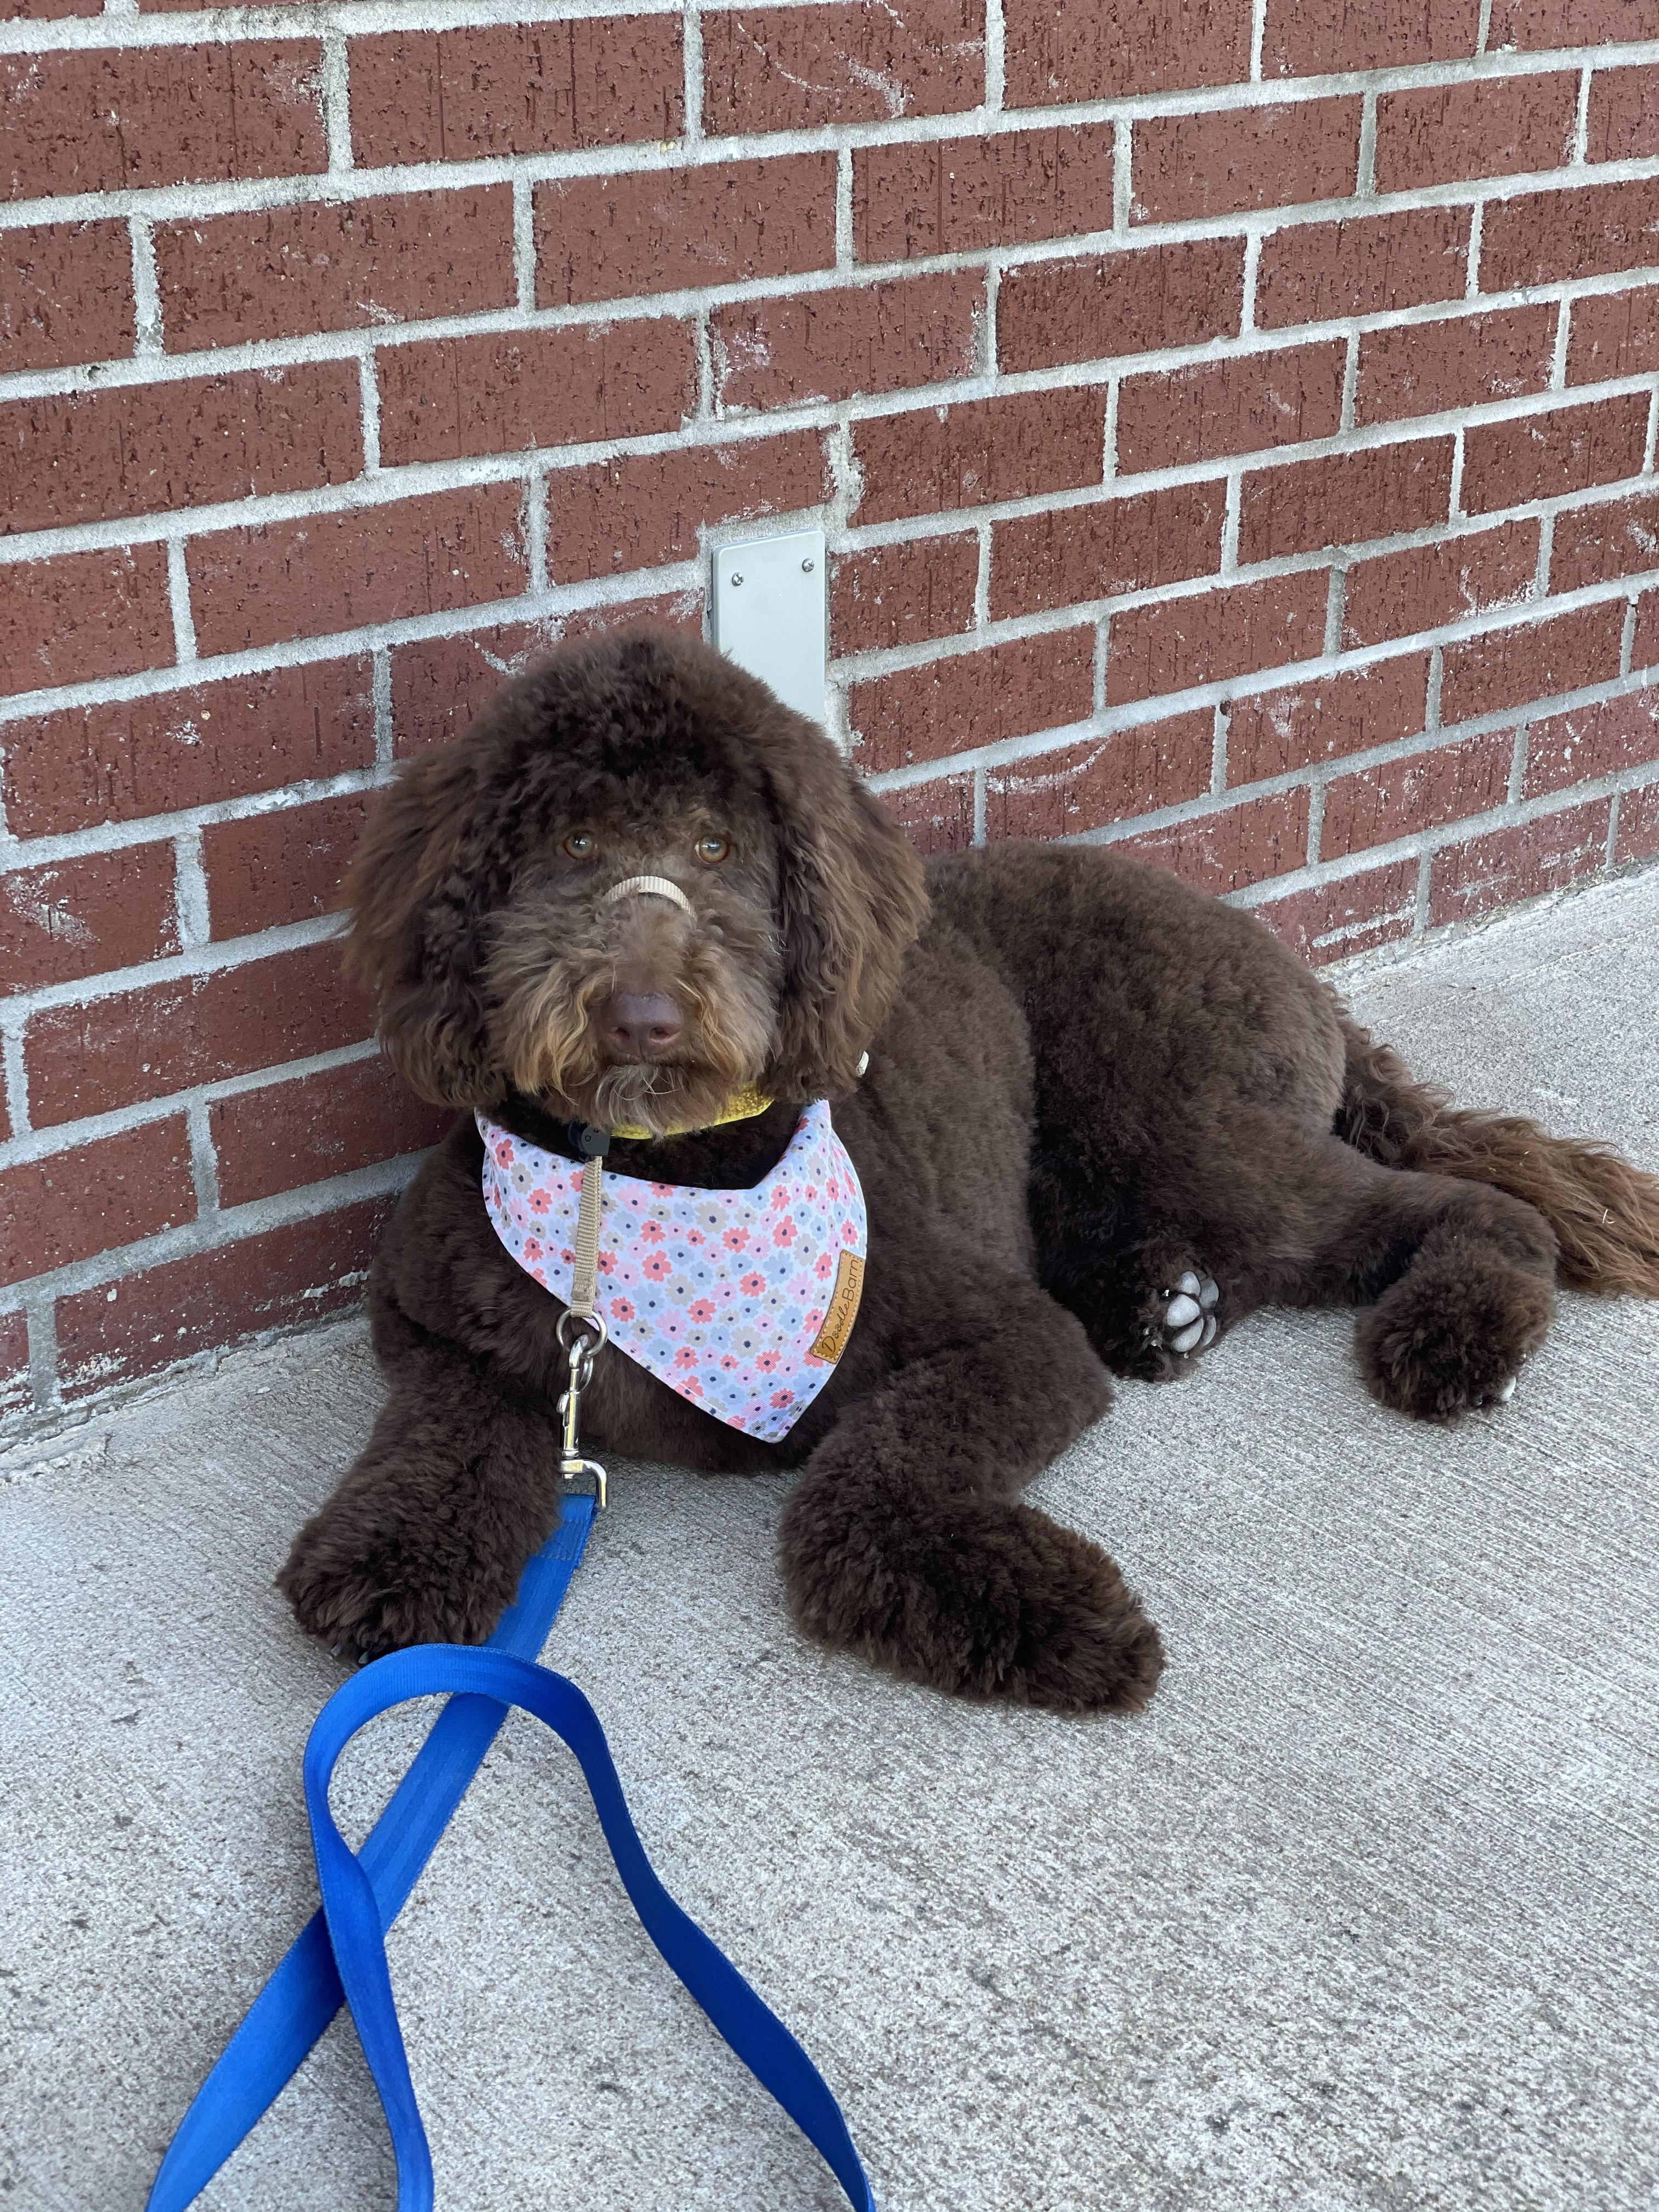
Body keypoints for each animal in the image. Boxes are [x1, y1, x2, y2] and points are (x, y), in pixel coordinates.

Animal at [279, 627, 1659, 1714]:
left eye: (720, 847)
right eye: (569, 840)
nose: (641, 1017)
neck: (652, 1176)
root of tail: (1289, 963)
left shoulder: (1004, 1341)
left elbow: (861, 1485)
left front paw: (1058, 1621)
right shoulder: (427, 1317)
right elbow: (449, 1427)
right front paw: (391, 1559)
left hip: (1193, 1131)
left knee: (1471, 1205)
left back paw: (1452, 1333)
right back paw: (1166, 1310)